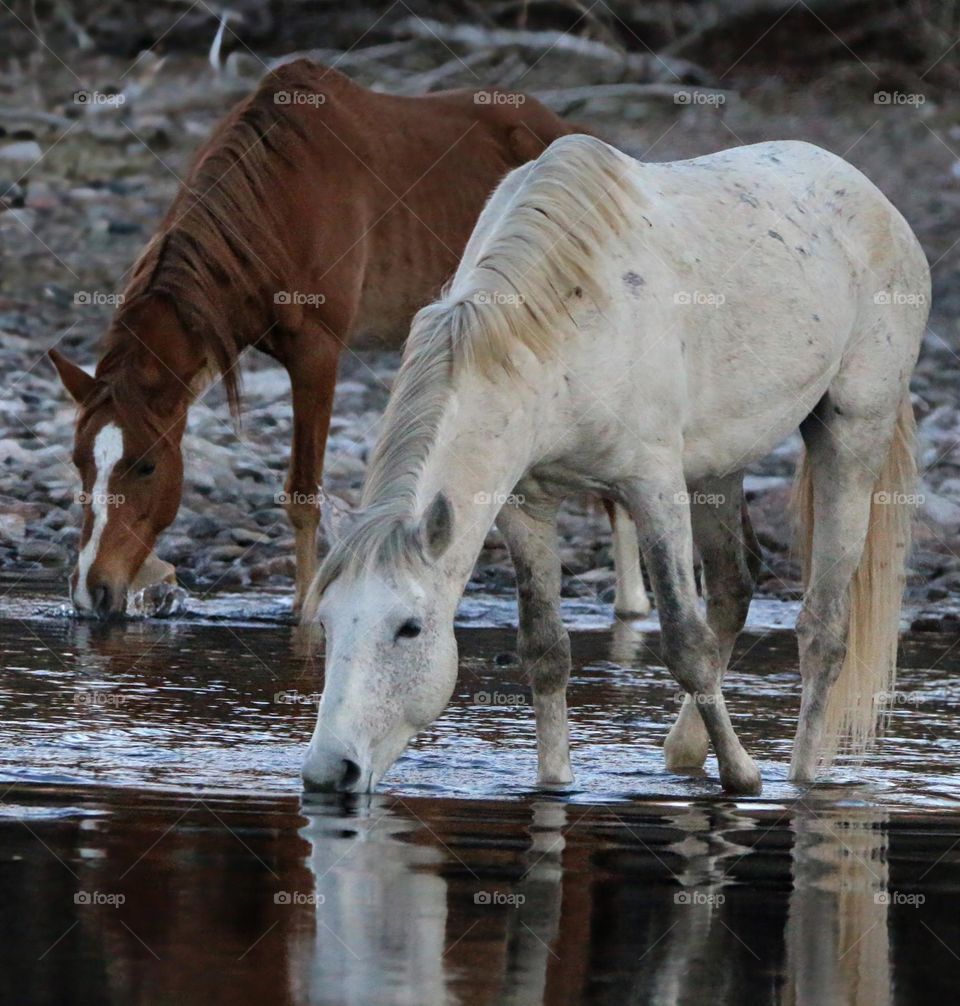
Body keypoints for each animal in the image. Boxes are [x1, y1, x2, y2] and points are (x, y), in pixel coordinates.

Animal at [49, 59, 647, 618]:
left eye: (147, 464)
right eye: (79, 461)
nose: (91, 591)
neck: (279, 200)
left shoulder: (317, 352)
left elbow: (303, 494)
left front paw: (306, 613)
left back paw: (631, 604)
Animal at [301, 133, 927, 795]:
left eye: (410, 628)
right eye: (327, 624)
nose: (329, 771)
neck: (553, 334)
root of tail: (874, 198)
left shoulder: (652, 487)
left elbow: (686, 644)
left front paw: (742, 778)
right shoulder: (525, 504)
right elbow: (545, 650)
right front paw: (554, 782)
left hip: (851, 435)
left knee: (824, 626)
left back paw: (802, 776)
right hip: (717, 469)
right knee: (734, 585)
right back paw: (683, 752)